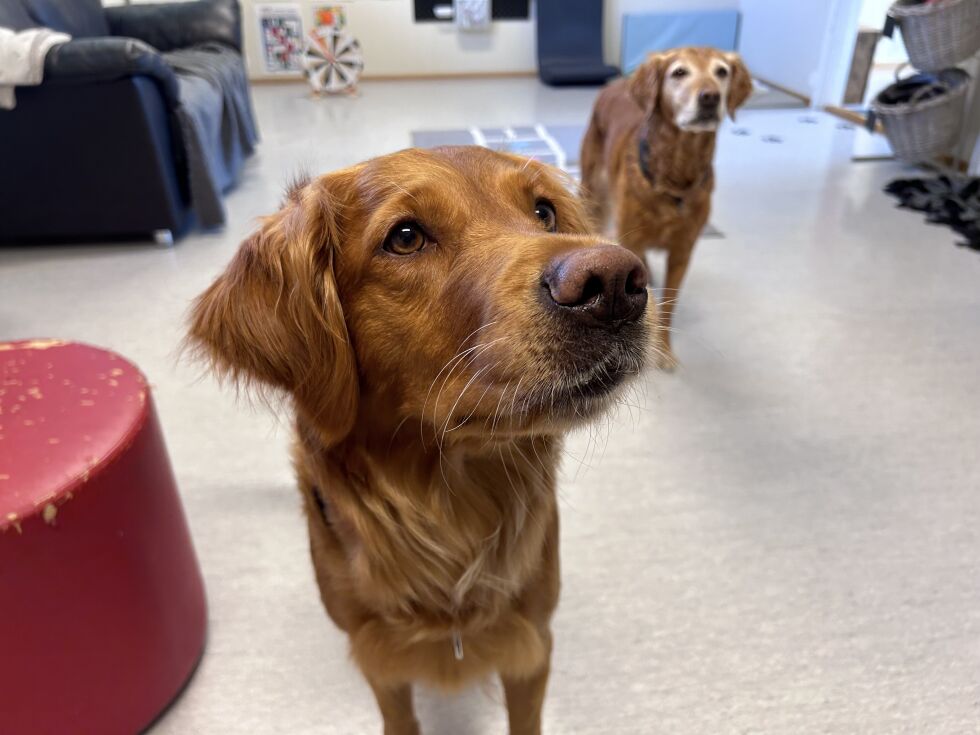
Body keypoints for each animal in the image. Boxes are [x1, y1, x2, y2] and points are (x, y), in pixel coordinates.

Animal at [189, 145, 656, 735]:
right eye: (406, 237)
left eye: (544, 212)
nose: (617, 283)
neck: (449, 505)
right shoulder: (378, 653)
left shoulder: (530, 643)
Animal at [580, 46, 752, 368]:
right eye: (679, 72)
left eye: (721, 71)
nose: (710, 97)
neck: (677, 171)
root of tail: (617, 84)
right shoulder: (631, 235)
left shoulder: (682, 251)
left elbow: (668, 303)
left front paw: (664, 349)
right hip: (594, 188)